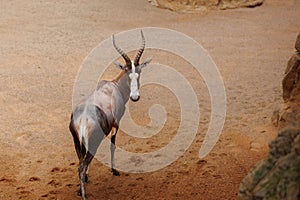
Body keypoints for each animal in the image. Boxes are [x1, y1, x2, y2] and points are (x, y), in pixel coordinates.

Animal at [69, 30, 151, 199]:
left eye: (138, 72)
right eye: (127, 73)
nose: (135, 97)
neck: (113, 86)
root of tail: (83, 120)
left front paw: (87, 178)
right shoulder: (116, 123)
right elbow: (113, 145)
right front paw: (114, 170)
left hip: (78, 142)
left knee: (80, 163)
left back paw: (81, 188)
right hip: (93, 142)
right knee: (82, 165)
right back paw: (84, 195)